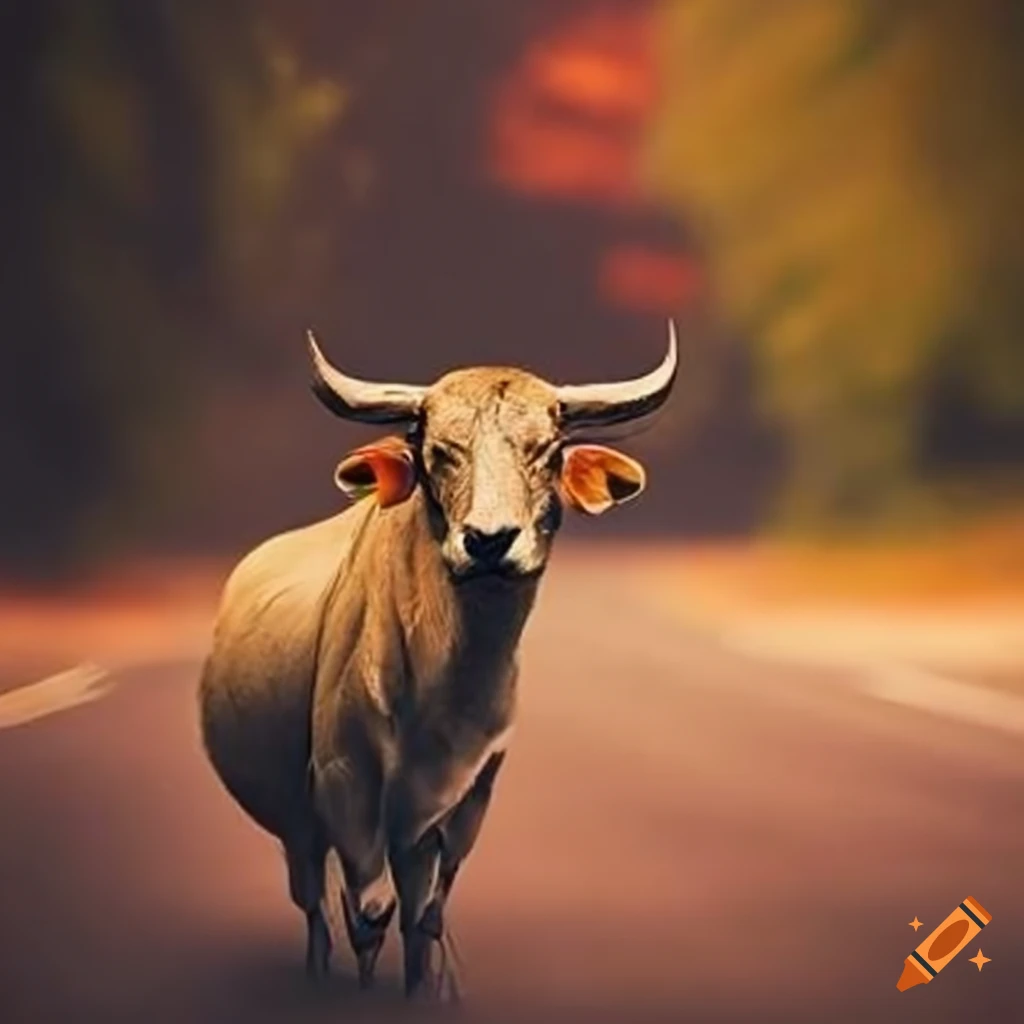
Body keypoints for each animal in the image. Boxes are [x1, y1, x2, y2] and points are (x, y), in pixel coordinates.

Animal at [198, 322, 678, 1000]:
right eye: (439, 451)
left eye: (546, 450)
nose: (489, 540)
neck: (445, 693)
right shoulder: (345, 786)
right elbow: (368, 913)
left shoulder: (467, 798)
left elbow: (424, 915)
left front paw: (423, 987)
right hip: (297, 826)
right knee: (315, 903)